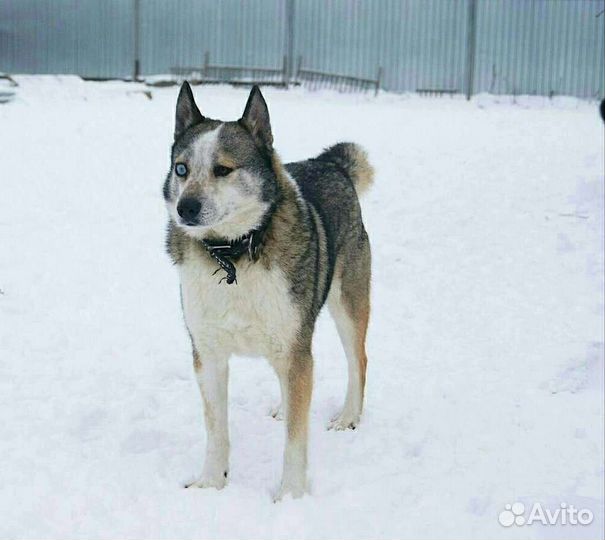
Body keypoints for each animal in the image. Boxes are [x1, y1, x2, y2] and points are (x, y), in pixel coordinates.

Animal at [165, 82, 372, 500]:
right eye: (181, 168)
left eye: (223, 169)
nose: (185, 207)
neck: (233, 255)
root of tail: (330, 163)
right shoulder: (208, 354)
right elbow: (216, 429)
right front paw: (211, 483)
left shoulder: (295, 348)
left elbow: (295, 440)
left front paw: (290, 496)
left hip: (347, 303)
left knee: (358, 360)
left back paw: (348, 417)